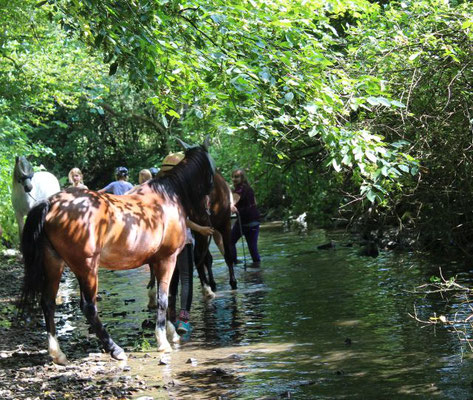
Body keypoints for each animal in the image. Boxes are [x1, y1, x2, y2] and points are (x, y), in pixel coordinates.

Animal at [20, 145, 214, 364]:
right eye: (211, 170)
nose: (207, 214)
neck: (167, 196)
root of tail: (51, 203)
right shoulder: (168, 259)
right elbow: (164, 298)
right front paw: (163, 341)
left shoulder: (159, 261)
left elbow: (167, 296)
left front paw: (171, 332)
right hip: (87, 268)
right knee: (88, 306)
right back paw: (115, 349)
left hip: (54, 262)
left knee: (48, 302)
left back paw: (57, 353)